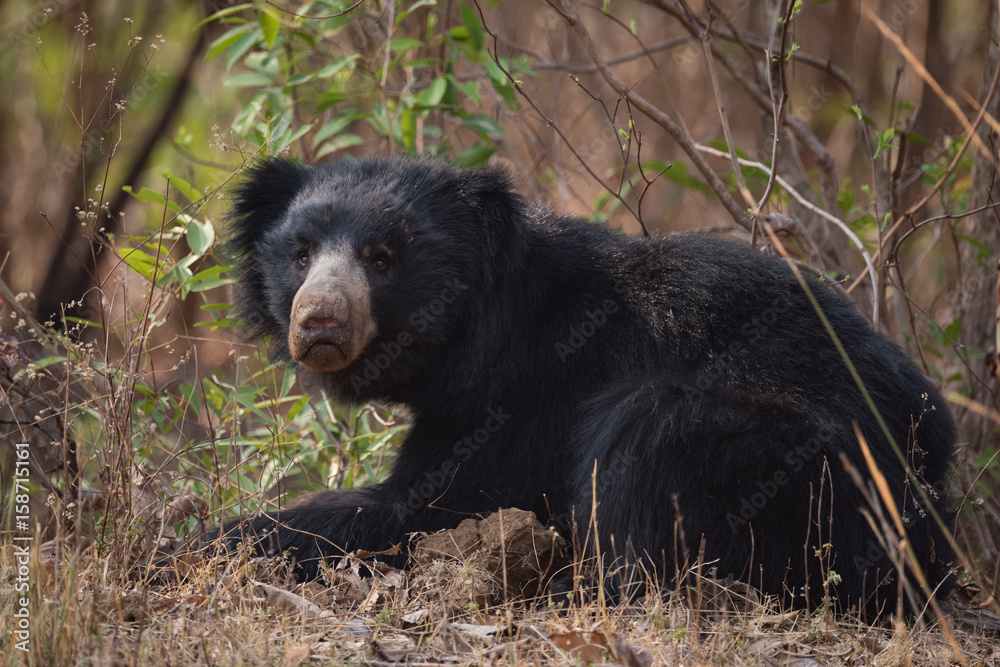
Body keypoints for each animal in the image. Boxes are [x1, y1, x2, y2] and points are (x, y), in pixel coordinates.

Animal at [220, 155, 954, 615]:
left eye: (381, 258)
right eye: (301, 254)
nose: (319, 321)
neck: (482, 327)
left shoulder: (522, 397)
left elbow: (426, 507)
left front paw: (219, 541)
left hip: (801, 460)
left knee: (644, 441)